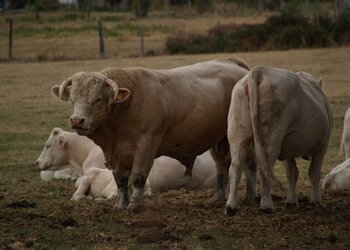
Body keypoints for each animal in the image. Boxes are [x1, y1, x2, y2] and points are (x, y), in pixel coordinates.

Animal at [226, 66, 332, 215]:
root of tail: (260, 71)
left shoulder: (288, 149)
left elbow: (292, 173)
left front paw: (292, 201)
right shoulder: (322, 145)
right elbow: (314, 172)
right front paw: (316, 201)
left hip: (238, 133)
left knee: (235, 167)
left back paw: (231, 206)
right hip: (271, 139)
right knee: (264, 170)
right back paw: (267, 206)